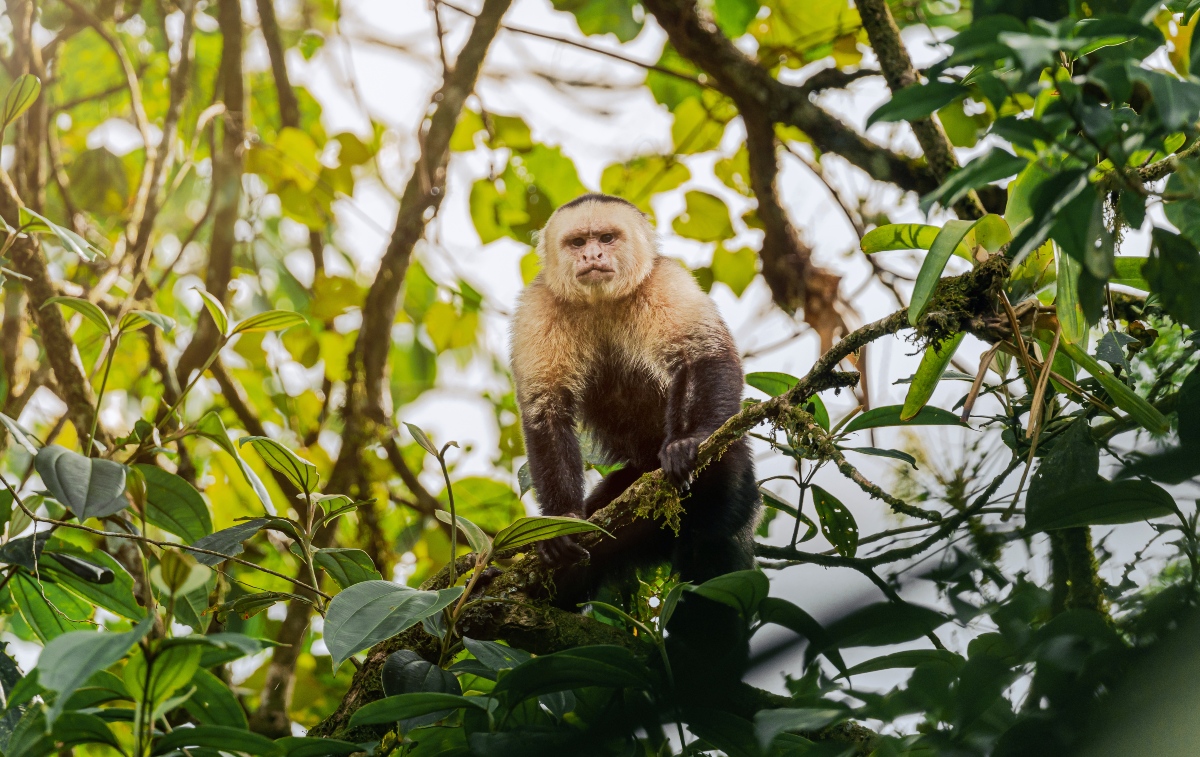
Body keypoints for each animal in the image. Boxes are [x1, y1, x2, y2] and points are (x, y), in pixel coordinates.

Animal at [509, 193, 760, 588]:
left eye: (607, 238)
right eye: (578, 242)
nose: (592, 255)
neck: (601, 302)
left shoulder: (665, 281)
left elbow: (702, 355)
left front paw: (687, 441)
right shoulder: (537, 308)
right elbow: (546, 409)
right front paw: (563, 520)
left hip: (730, 469)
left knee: (711, 553)